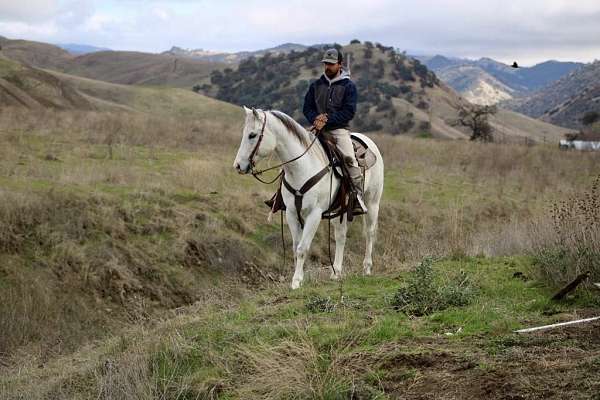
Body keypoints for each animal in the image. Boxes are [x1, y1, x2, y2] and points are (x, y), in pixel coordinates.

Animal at [234, 107, 384, 288]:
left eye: (252, 135)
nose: (238, 166)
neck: (302, 167)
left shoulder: (314, 214)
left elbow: (302, 248)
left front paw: (296, 281)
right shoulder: (292, 213)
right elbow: (295, 247)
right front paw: (298, 278)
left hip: (372, 202)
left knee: (369, 233)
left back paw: (367, 268)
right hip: (340, 209)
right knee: (340, 235)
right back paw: (336, 272)